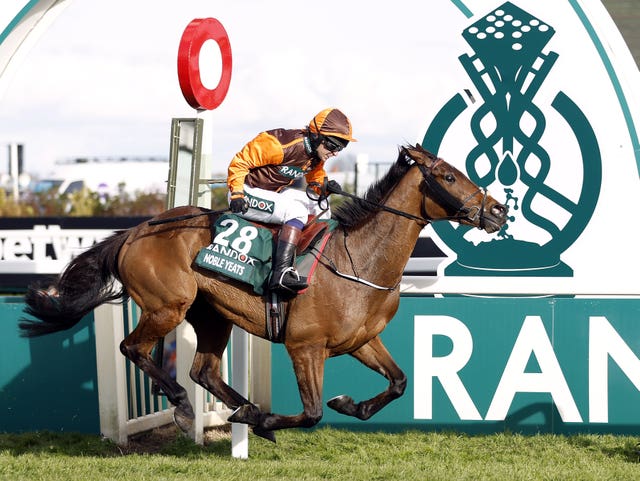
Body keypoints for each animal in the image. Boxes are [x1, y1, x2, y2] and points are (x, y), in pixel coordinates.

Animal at [20, 143, 508, 442]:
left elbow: (400, 382)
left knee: (203, 372)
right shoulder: (305, 346)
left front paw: (348, 403)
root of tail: (135, 231)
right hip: (167, 306)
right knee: (133, 348)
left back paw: (246, 411)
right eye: (448, 176)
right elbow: (312, 413)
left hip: (210, 315)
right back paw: (187, 406)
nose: (499, 210)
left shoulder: (362, 340)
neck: (359, 260)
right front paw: (276, 416)